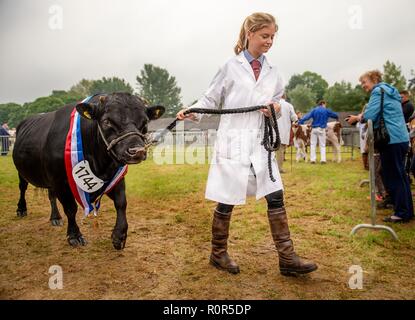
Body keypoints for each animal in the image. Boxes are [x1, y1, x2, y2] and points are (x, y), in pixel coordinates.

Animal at [13, 92, 166, 250]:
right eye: (107, 121)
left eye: (145, 122)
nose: (137, 151)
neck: (99, 163)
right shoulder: (60, 182)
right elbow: (70, 208)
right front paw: (74, 236)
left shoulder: (115, 178)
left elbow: (121, 203)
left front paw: (119, 236)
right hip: (23, 173)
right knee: (23, 188)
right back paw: (21, 209)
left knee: (51, 195)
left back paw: (55, 217)